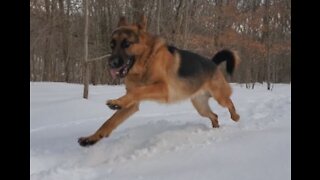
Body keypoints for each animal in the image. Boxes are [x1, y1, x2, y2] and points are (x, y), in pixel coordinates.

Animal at [79, 15, 240, 146]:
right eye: (112, 45)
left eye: (126, 44)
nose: (111, 63)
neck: (145, 62)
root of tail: (213, 63)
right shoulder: (132, 105)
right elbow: (109, 122)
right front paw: (92, 138)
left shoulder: (163, 88)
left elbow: (138, 91)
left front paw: (117, 101)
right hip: (201, 107)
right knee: (214, 115)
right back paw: (215, 129)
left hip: (220, 97)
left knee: (230, 103)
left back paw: (235, 116)